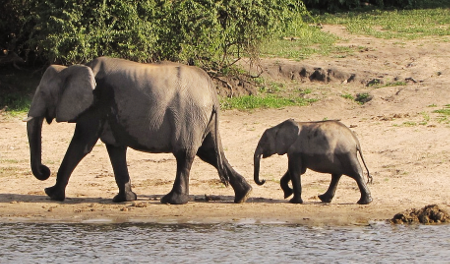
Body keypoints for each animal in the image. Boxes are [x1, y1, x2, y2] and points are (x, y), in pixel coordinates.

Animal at [25, 55, 253, 204]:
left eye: (43, 93)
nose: (45, 170)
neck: (71, 68)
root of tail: (213, 94)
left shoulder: (95, 105)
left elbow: (81, 144)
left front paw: (51, 194)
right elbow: (115, 149)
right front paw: (123, 199)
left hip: (189, 115)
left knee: (185, 154)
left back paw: (172, 200)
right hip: (202, 118)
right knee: (210, 152)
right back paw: (244, 195)